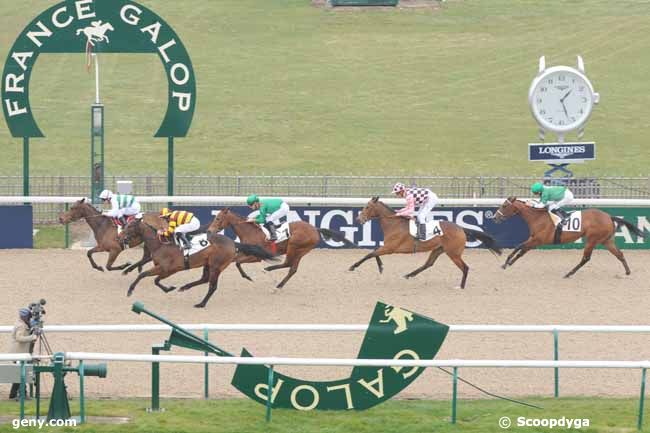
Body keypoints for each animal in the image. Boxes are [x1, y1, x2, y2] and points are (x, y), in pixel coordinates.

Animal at [119, 219, 276, 308]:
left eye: (130, 226)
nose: (120, 238)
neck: (160, 245)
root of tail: (233, 242)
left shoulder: (168, 268)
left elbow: (147, 276)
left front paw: (130, 290)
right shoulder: (164, 269)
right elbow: (154, 279)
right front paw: (169, 288)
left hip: (216, 266)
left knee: (212, 286)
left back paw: (201, 303)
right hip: (208, 264)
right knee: (204, 279)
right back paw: (185, 287)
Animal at [208, 208, 352, 288]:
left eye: (218, 218)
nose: (209, 231)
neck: (250, 232)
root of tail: (315, 229)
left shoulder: (257, 256)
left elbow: (237, 262)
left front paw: (248, 276)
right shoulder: (247, 252)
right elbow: (235, 261)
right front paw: (246, 276)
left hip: (294, 246)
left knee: (288, 264)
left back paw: (268, 270)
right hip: (301, 251)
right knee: (292, 268)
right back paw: (279, 284)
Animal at [346, 197, 498, 288]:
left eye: (367, 207)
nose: (358, 219)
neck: (393, 224)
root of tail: (461, 228)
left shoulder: (390, 247)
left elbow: (370, 254)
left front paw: (353, 266)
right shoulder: (387, 247)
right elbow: (373, 253)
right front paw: (381, 267)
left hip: (453, 253)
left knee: (465, 268)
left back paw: (460, 286)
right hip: (438, 249)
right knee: (428, 264)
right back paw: (409, 275)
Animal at [494, 197, 640, 276]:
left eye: (504, 205)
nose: (495, 217)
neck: (537, 217)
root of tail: (609, 216)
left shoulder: (538, 240)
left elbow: (519, 246)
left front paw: (506, 262)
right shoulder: (534, 240)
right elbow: (521, 251)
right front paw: (508, 263)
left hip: (592, 239)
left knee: (586, 258)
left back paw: (569, 273)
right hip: (606, 240)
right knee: (619, 254)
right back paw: (627, 271)